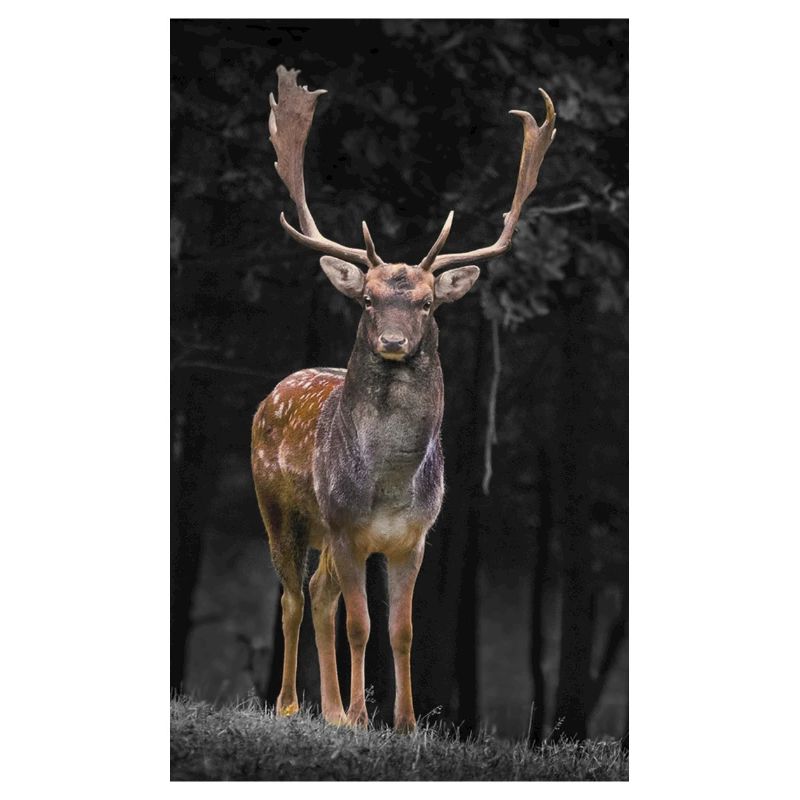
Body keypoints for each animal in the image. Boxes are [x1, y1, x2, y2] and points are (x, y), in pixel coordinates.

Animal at [251, 65, 556, 732]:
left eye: (427, 303)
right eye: (368, 299)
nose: (393, 341)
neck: (389, 485)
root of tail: (274, 392)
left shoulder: (414, 538)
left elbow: (403, 630)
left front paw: (405, 721)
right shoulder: (345, 526)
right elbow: (361, 626)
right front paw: (364, 717)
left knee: (318, 596)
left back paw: (330, 711)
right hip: (279, 509)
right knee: (291, 597)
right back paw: (291, 705)